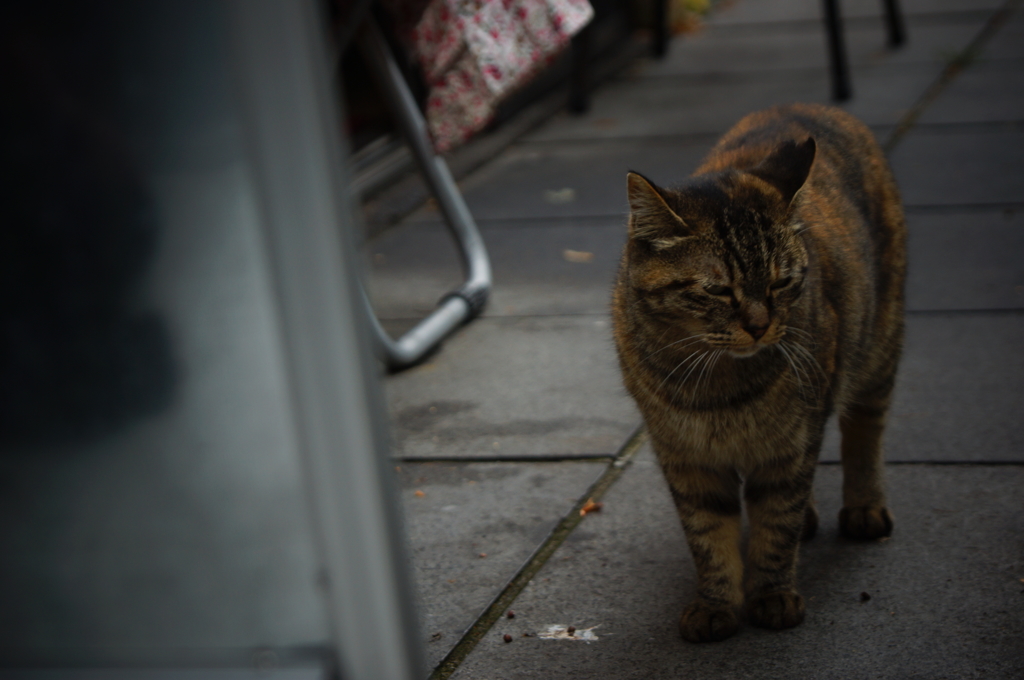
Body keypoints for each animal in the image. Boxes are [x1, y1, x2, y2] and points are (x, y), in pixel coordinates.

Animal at [606, 103, 905, 639]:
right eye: (718, 290)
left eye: (781, 283)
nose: (761, 325)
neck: (716, 384)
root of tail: (810, 106)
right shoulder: (687, 460)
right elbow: (708, 535)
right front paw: (715, 604)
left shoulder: (792, 447)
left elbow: (775, 526)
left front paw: (772, 595)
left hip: (879, 346)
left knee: (865, 430)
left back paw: (864, 505)